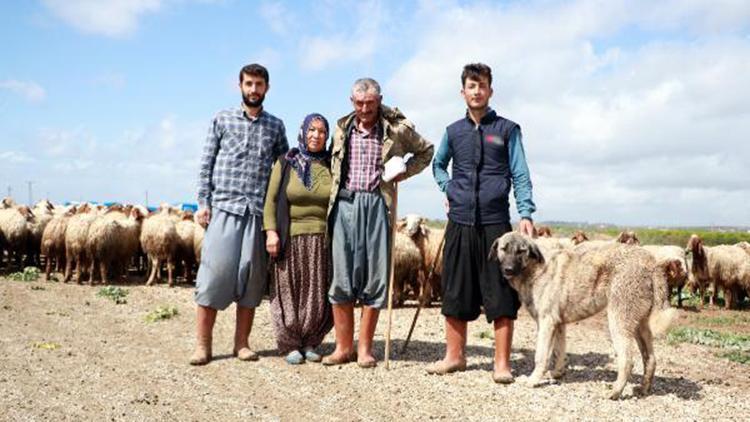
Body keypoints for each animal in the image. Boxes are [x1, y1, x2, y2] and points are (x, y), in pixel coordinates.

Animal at [490, 232, 680, 398]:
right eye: (503, 249)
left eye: (521, 251)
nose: (508, 269)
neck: (535, 267)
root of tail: (651, 261)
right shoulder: (558, 324)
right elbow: (559, 351)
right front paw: (557, 373)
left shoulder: (546, 323)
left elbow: (541, 355)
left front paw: (533, 380)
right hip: (639, 324)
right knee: (650, 358)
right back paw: (643, 389)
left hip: (618, 321)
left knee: (628, 360)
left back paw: (615, 391)